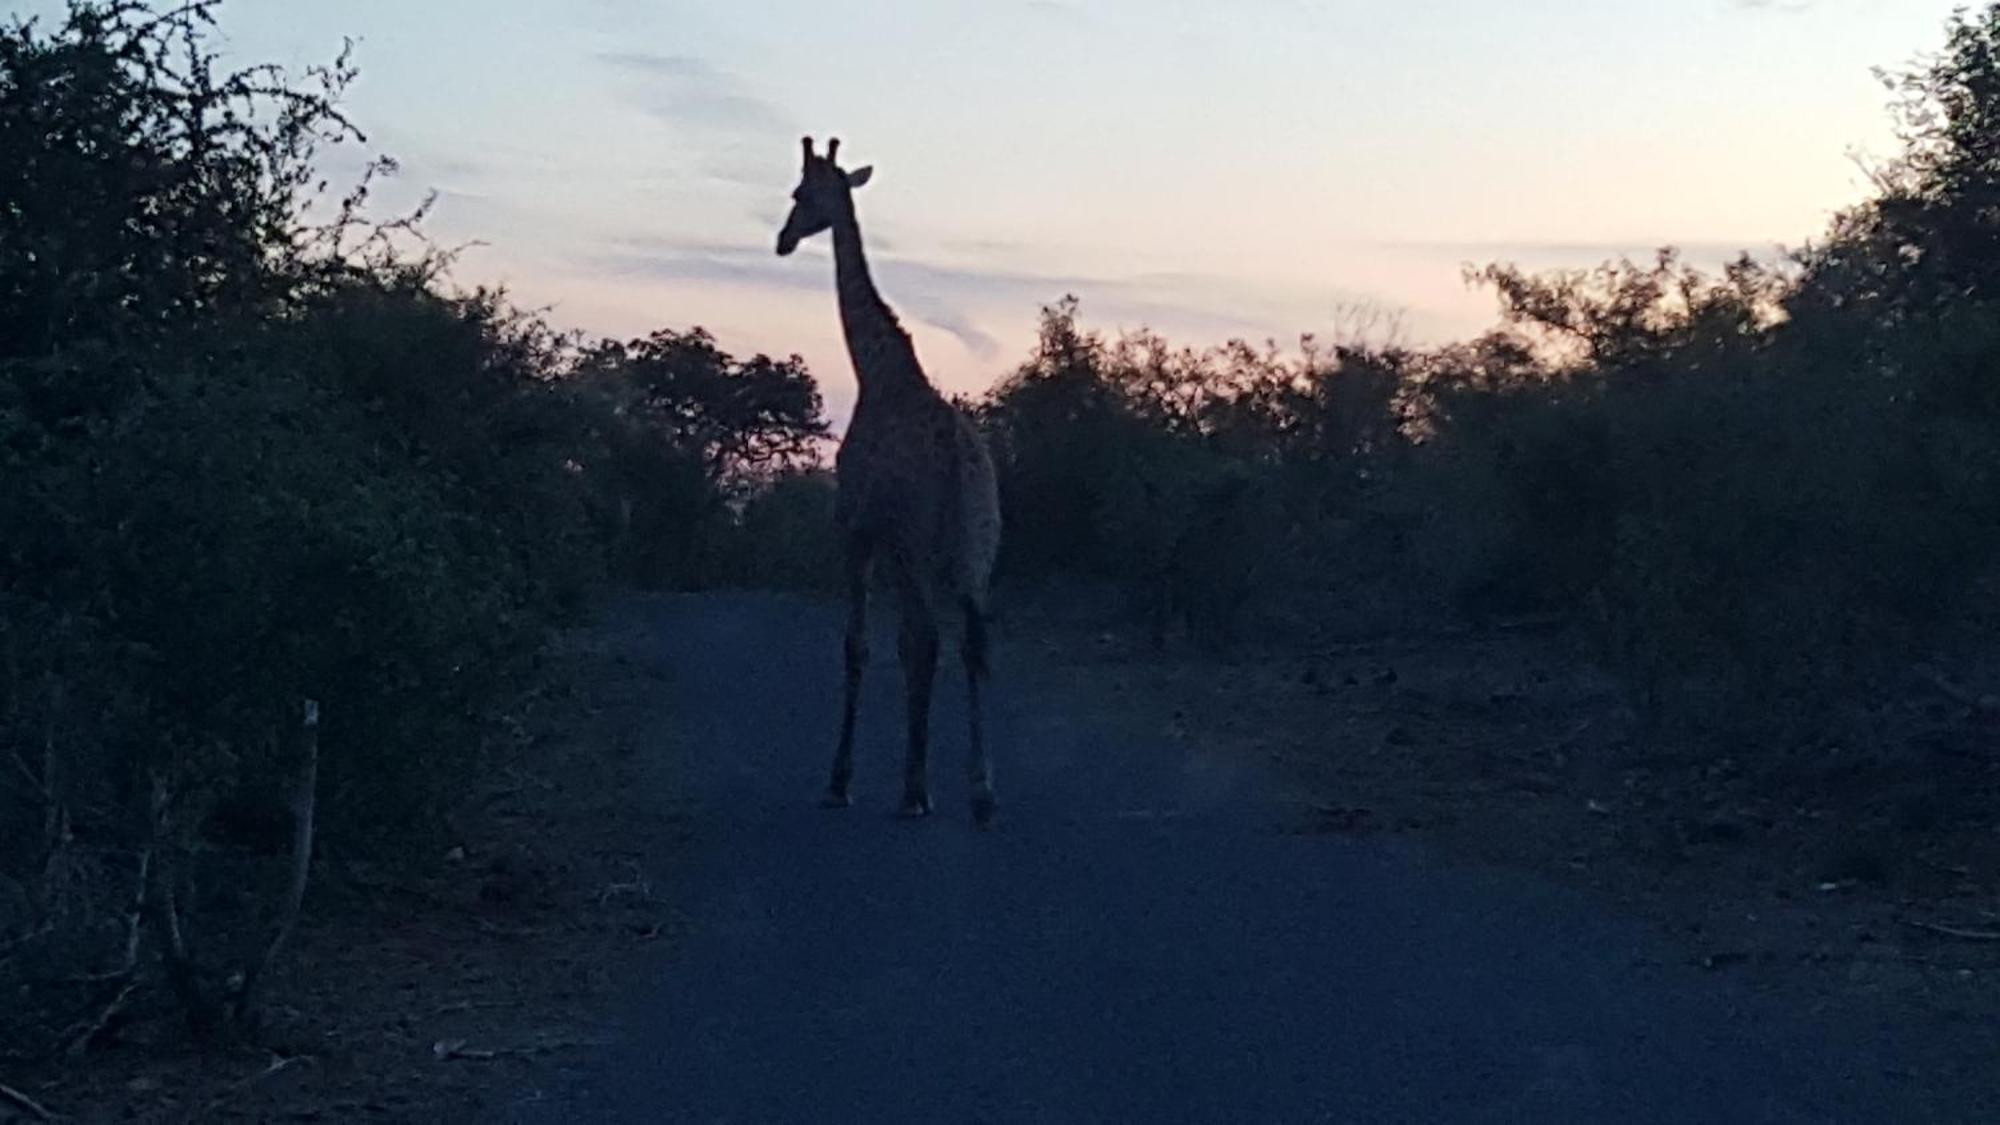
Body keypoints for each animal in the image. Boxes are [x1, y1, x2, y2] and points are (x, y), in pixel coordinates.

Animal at [776, 138, 1008, 824]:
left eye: (801, 194)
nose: (783, 239)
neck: (875, 372)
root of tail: (959, 465)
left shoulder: (857, 532)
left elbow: (859, 646)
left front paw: (840, 780)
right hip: (976, 552)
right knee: (973, 646)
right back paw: (981, 791)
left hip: (915, 548)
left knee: (927, 640)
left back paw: (915, 789)